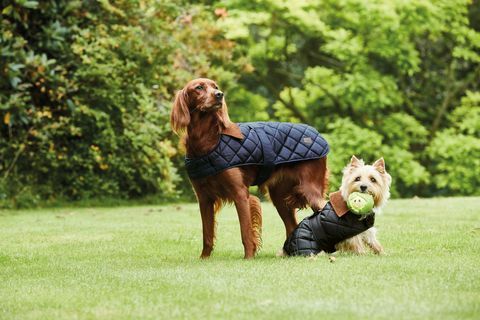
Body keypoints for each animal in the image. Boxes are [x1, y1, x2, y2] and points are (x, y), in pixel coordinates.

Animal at [171, 79, 328, 258]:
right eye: (199, 87)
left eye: (215, 87)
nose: (219, 95)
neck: (207, 140)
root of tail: (316, 132)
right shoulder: (204, 198)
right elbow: (207, 235)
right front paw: (204, 258)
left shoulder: (240, 194)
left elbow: (246, 232)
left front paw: (248, 258)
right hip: (279, 197)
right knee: (291, 226)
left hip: (309, 189)